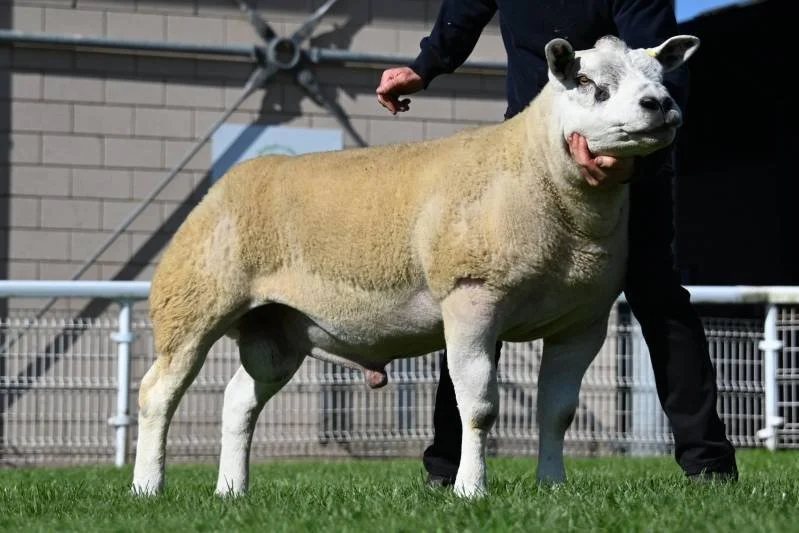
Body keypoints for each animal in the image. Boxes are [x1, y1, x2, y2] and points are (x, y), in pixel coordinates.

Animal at [131, 34, 700, 499]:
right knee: (158, 393)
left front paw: (553, 486)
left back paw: (232, 491)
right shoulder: (472, 296)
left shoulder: (582, 321)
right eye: (587, 83)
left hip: (276, 328)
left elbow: (557, 412)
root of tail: (229, 182)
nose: (660, 106)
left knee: (238, 401)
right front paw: (471, 490)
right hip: (193, 301)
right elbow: (479, 407)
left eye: (660, 76)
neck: (537, 172)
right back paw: (147, 487)